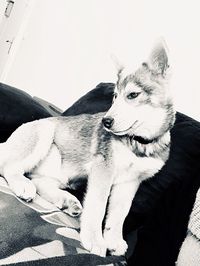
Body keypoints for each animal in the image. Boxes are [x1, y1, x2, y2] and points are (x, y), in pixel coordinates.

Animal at [0, 42, 175, 258]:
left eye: (133, 95)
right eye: (115, 97)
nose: (106, 122)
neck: (140, 143)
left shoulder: (131, 182)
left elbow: (120, 214)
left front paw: (113, 240)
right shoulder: (103, 170)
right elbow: (97, 207)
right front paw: (94, 240)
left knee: (39, 182)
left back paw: (67, 200)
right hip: (44, 132)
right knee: (9, 168)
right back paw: (23, 186)